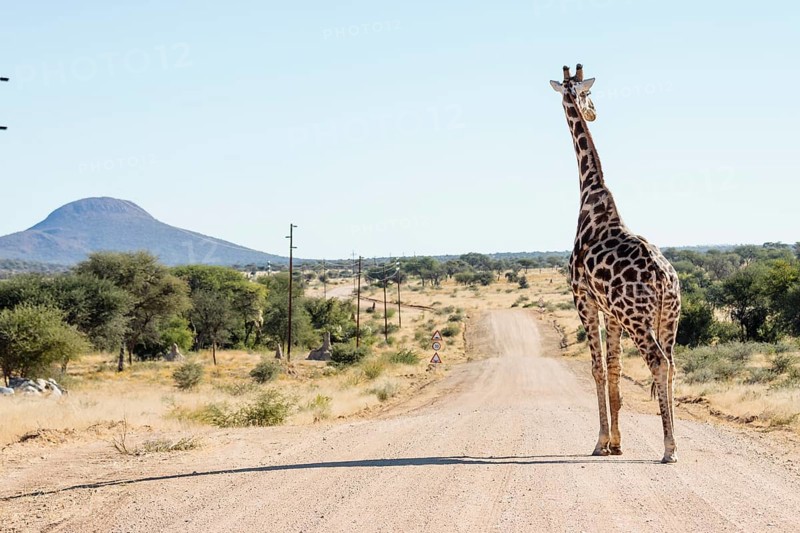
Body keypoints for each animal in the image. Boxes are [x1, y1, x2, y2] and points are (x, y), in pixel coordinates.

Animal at [550, 64, 682, 463]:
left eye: (589, 93)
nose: (593, 112)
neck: (590, 195)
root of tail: (663, 279)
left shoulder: (583, 299)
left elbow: (596, 368)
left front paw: (600, 442)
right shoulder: (611, 313)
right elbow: (614, 367)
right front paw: (617, 442)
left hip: (638, 318)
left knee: (658, 362)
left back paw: (669, 448)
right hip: (669, 318)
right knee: (672, 365)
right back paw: (675, 442)